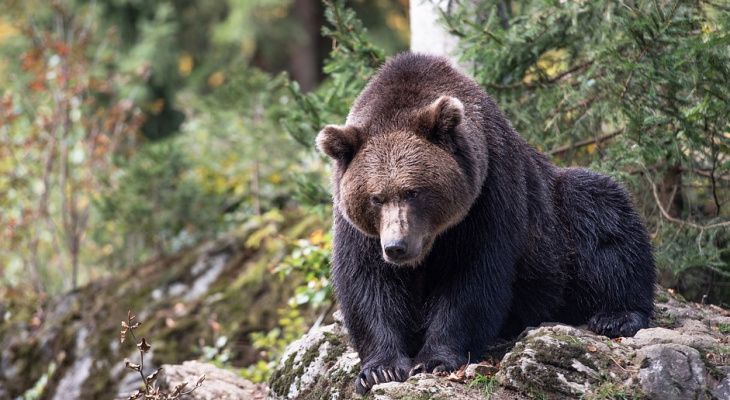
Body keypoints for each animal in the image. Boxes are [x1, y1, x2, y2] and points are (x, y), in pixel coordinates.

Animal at [312, 52, 656, 394]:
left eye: (413, 191)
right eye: (376, 198)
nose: (397, 247)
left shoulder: (488, 193)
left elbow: (472, 278)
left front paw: (435, 360)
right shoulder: (358, 228)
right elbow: (368, 283)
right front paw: (380, 369)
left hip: (558, 225)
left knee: (601, 213)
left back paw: (617, 315)